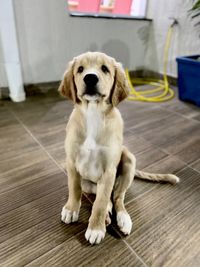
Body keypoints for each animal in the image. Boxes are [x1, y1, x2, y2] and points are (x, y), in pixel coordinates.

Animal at [58, 51, 179, 245]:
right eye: (80, 69)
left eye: (105, 69)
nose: (90, 78)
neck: (93, 113)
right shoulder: (71, 162)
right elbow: (74, 189)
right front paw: (71, 209)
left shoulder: (109, 170)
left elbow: (100, 204)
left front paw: (96, 228)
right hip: (90, 184)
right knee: (104, 196)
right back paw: (108, 216)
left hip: (128, 160)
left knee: (116, 197)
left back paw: (122, 219)